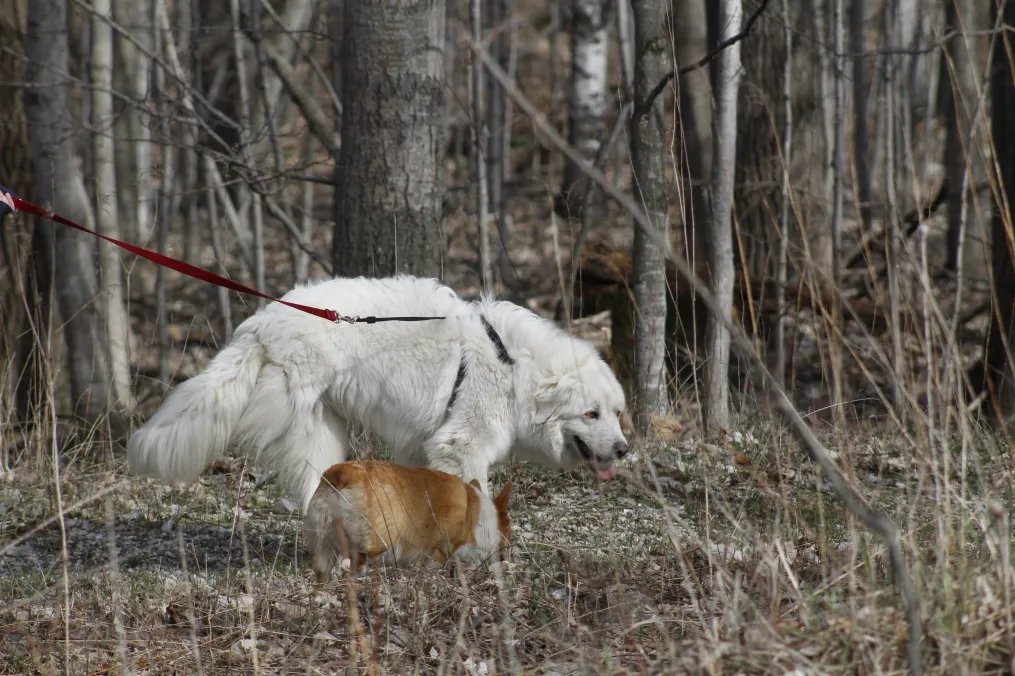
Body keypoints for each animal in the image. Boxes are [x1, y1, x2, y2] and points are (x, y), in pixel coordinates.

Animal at [128, 274, 625, 505]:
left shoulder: (425, 446)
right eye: (591, 414)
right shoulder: (460, 446)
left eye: (616, 412)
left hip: (326, 426)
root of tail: (264, 323)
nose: (624, 450)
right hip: (308, 420)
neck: (514, 368)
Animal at [298, 458, 507, 580]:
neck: (476, 511)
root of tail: (342, 473)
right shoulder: (441, 549)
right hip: (379, 538)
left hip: (321, 542)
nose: (505, 558)